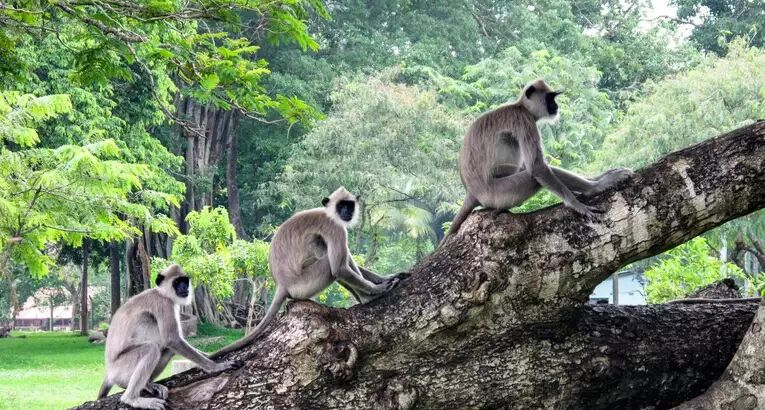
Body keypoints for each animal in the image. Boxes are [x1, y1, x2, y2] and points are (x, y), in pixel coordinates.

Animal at [98, 264, 240, 410]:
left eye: (184, 281)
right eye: (177, 282)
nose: (184, 287)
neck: (161, 293)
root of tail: (109, 371)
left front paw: (210, 355)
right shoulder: (163, 304)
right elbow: (172, 340)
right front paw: (216, 367)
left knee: (167, 350)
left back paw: (148, 384)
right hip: (121, 368)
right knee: (151, 347)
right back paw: (132, 398)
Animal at [211, 187, 406, 359]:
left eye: (349, 205)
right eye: (340, 206)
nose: (346, 212)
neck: (329, 213)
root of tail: (282, 284)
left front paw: (386, 278)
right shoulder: (334, 227)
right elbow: (339, 269)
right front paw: (378, 290)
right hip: (304, 284)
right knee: (330, 263)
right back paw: (367, 299)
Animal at [442, 79, 633, 243]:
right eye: (550, 98)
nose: (556, 106)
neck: (520, 106)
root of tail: (472, 192)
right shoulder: (524, 119)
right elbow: (536, 167)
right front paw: (579, 202)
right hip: (500, 192)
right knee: (533, 175)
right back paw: (596, 187)